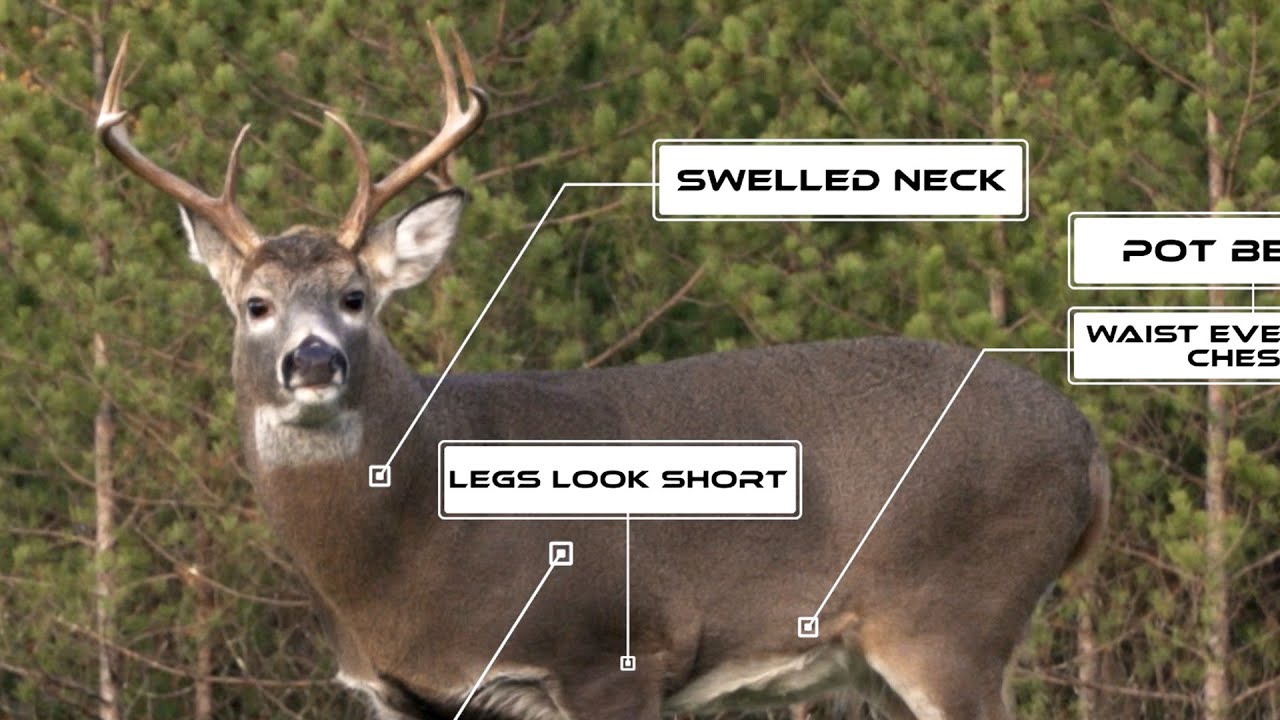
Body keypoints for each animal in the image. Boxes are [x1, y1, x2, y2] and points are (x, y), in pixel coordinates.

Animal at [96, 26, 1109, 720]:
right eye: (255, 305)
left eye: (356, 296)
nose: (313, 360)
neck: (404, 553)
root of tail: (1089, 448)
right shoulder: (405, 694)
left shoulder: (613, 651)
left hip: (953, 618)